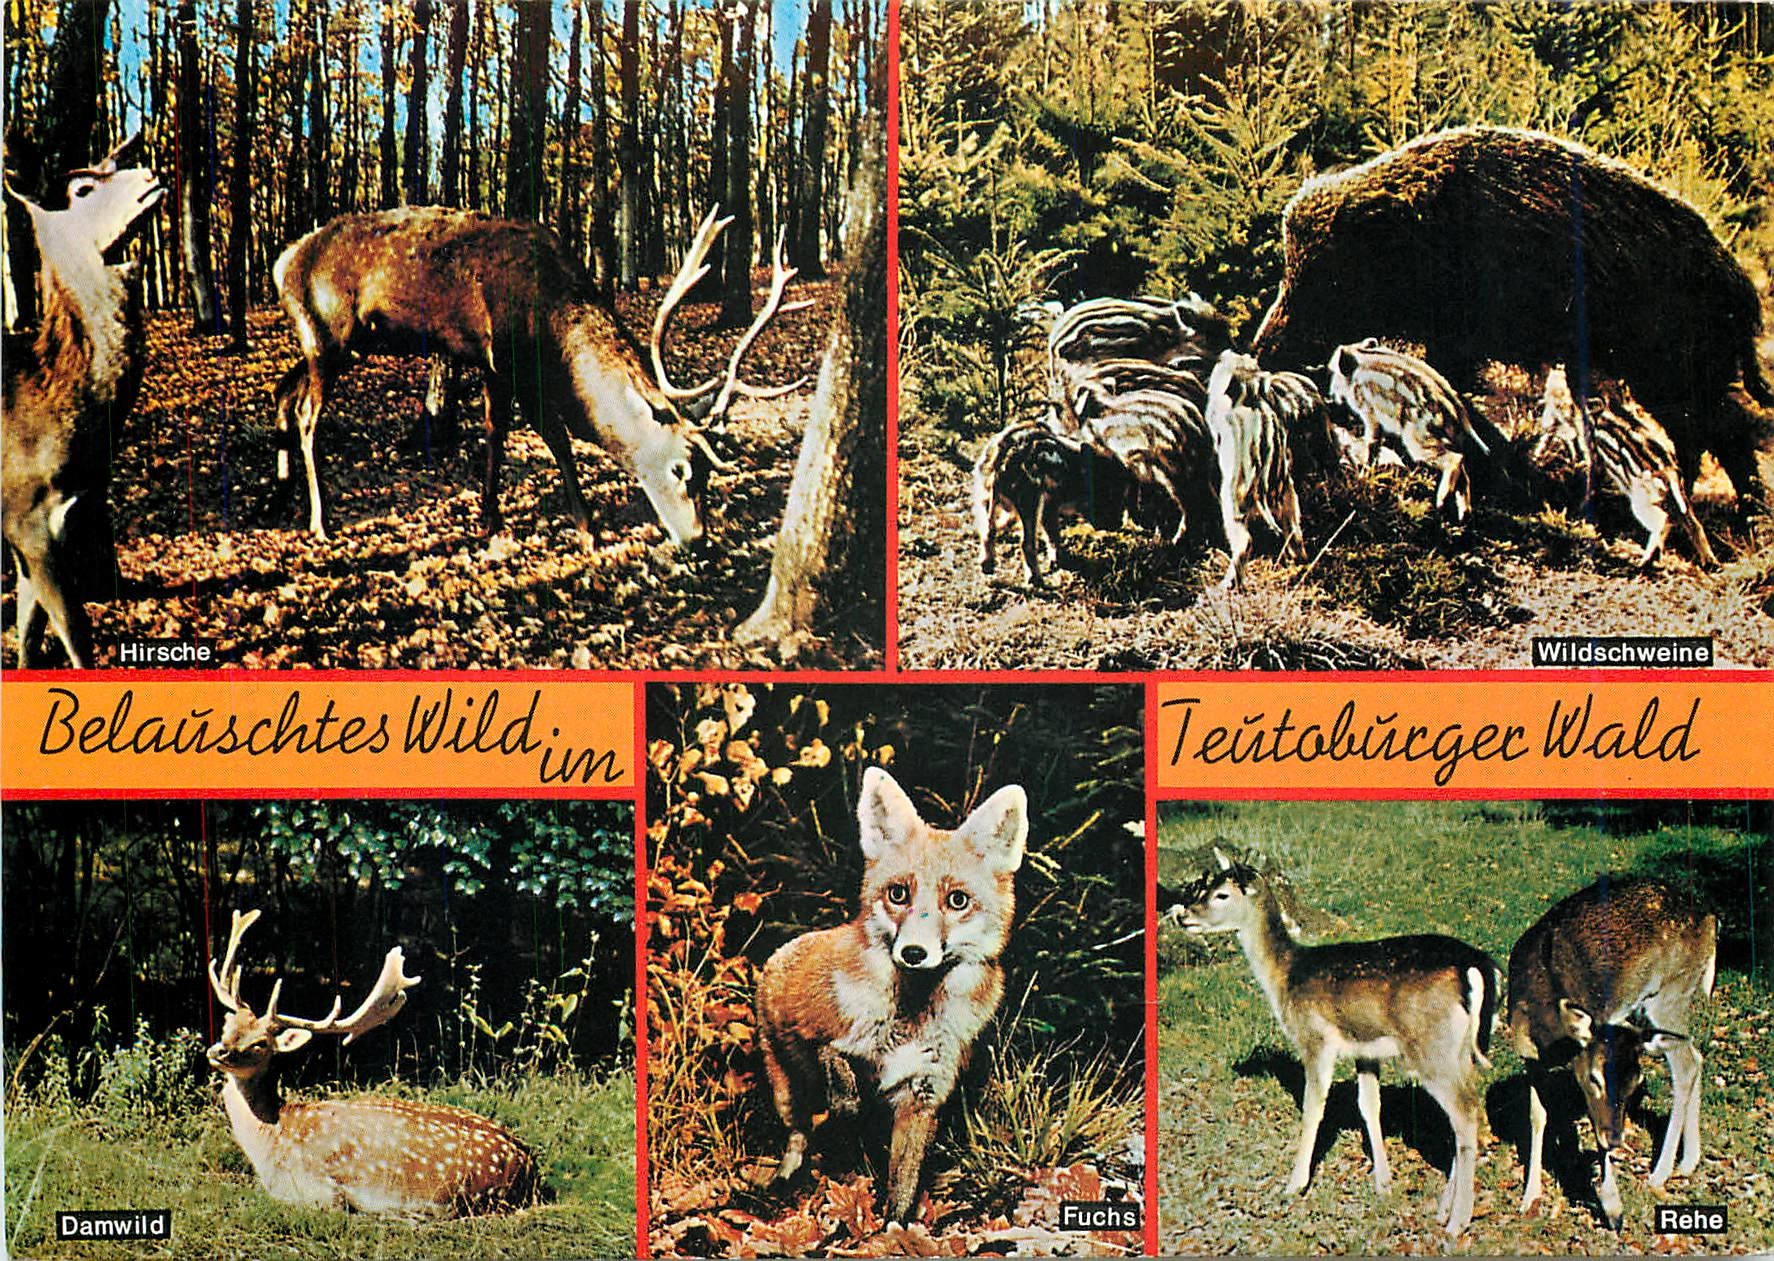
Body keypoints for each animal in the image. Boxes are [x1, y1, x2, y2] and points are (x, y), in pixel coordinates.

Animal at [755, 766, 1028, 1221]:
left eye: (958, 901)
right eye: (898, 893)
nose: (914, 953)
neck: (911, 1016)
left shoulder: (925, 1095)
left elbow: (902, 1187)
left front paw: (896, 1229)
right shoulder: (813, 1031)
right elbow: (837, 1064)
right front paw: (849, 1102)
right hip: (786, 1089)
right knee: (799, 1133)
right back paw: (788, 1175)